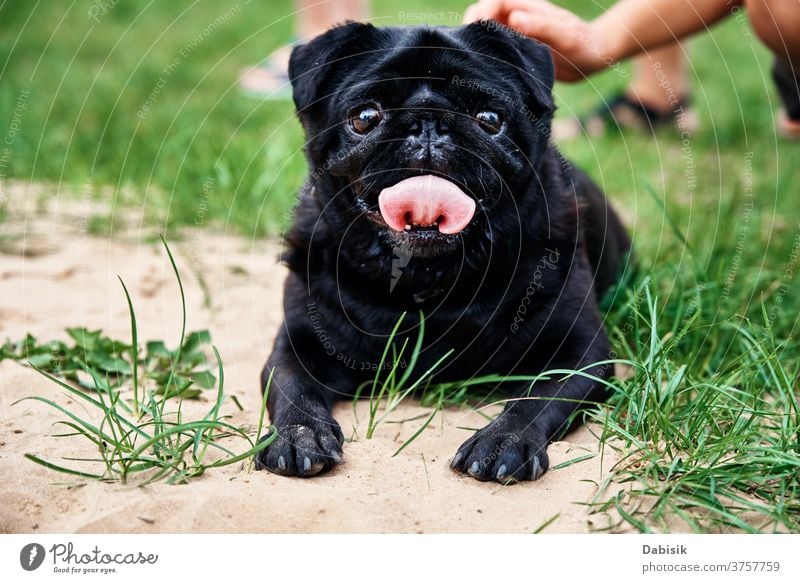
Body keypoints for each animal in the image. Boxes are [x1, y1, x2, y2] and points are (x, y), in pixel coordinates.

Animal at [256, 20, 632, 484]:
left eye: (489, 119)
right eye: (365, 118)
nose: (429, 122)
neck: (428, 277)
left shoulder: (579, 353)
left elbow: (535, 398)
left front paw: (504, 440)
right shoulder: (298, 345)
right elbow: (293, 388)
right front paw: (299, 435)